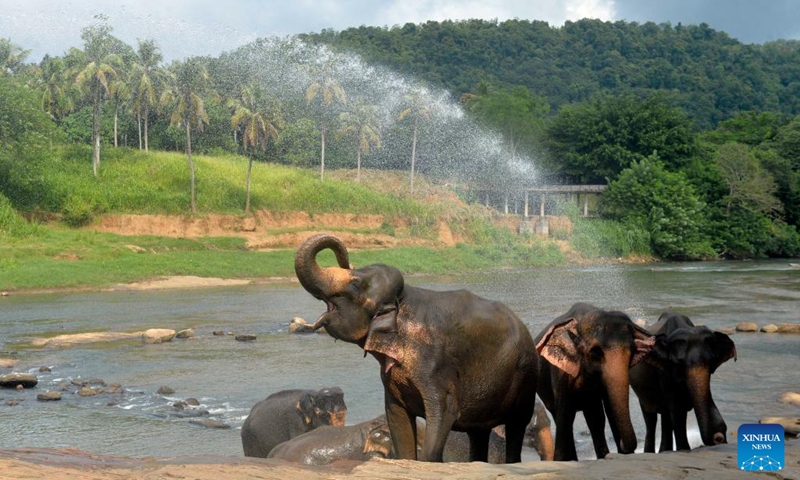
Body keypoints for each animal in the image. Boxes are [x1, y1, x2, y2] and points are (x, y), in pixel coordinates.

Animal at [294, 233, 539, 463]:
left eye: (355, 285)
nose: (347, 261)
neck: (403, 301)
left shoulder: (436, 366)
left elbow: (445, 411)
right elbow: (396, 416)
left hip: (526, 377)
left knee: (517, 424)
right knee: (478, 433)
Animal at [534, 302, 656, 461]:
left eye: (632, 350)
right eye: (596, 352)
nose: (621, 445)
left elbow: (606, 412)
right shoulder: (560, 373)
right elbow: (564, 415)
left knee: (595, 418)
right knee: (563, 418)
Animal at [630, 312, 736, 452]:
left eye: (711, 362)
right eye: (679, 364)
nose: (718, 437)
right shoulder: (664, 372)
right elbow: (677, 409)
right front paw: (684, 448)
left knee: (665, 416)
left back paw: (665, 450)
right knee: (651, 418)